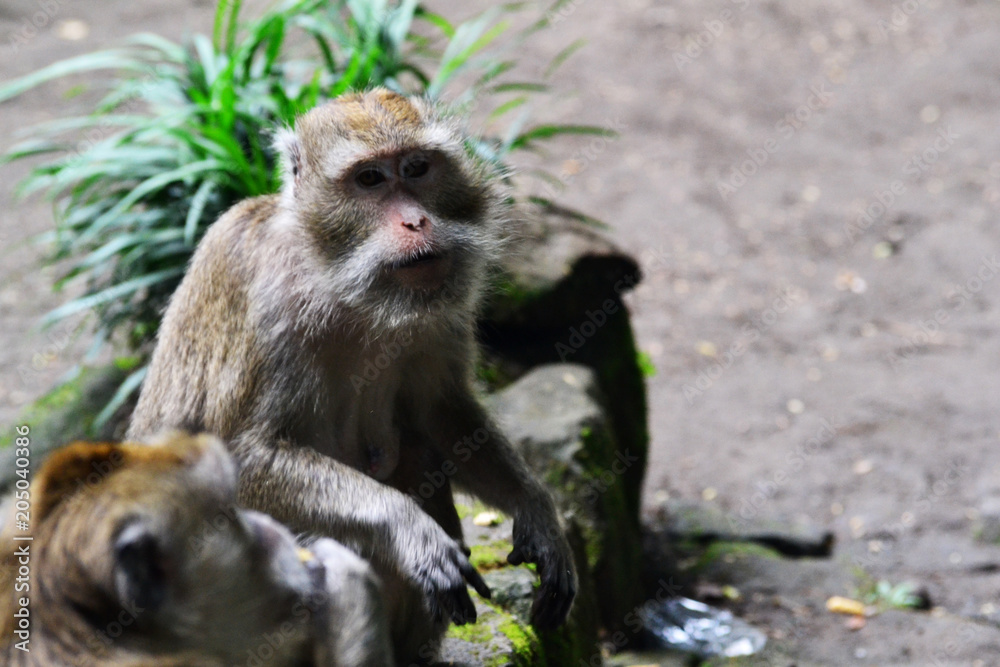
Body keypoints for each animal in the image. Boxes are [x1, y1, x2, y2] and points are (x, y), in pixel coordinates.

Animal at [127, 88, 578, 662]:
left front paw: (536, 509)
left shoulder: (440, 309)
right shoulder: (270, 304)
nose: (416, 223)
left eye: (416, 168)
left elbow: (443, 412)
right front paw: (406, 525)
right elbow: (234, 458)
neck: (346, 286)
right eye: (369, 180)